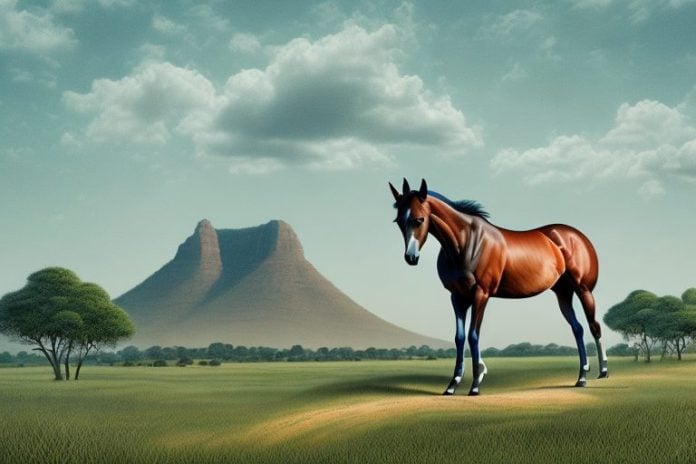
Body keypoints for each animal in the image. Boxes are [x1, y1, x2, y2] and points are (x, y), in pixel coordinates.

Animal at [389, 178, 608, 395]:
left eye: (419, 219)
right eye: (398, 221)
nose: (411, 258)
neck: (467, 243)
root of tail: (578, 237)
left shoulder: (481, 294)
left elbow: (473, 335)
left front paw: (476, 384)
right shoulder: (457, 297)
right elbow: (459, 338)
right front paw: (453, 385)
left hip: (583, 290)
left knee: (594, 326)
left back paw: (602, 372)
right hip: (563, 293)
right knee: (578, 329)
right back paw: (581, 376)